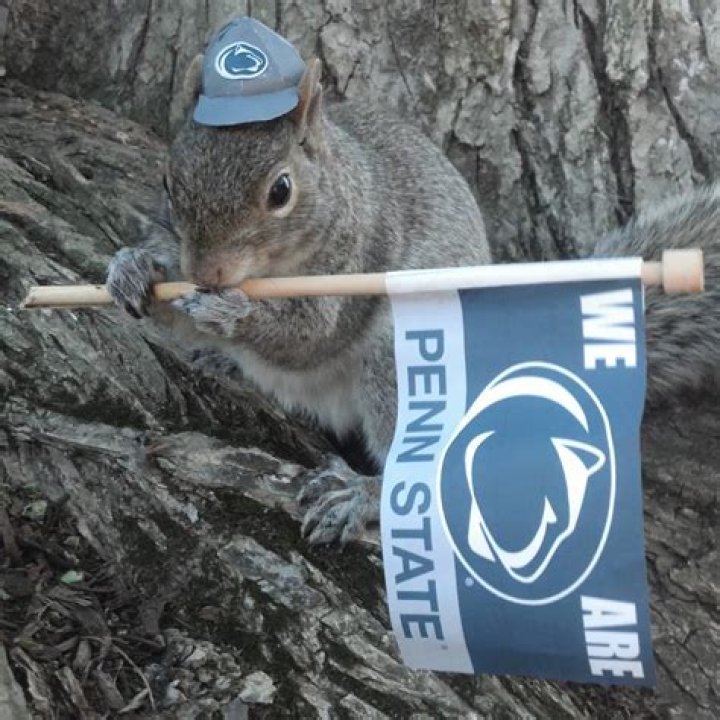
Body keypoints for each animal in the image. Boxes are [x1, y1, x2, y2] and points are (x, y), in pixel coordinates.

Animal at [108, 23, 719, 546]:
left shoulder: (356, 260)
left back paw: (362, 495)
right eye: (169, 179)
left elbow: (311, 338)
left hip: (398, 362)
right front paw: (132, 270)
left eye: (280, 191)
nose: (207, 274)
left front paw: (232, 315)